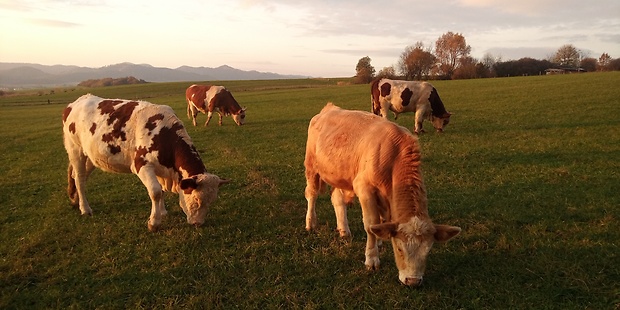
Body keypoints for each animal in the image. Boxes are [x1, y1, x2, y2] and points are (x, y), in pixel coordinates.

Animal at [62, 93, 230, 231]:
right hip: (75, 150)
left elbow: (161, 191)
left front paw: (162, 212)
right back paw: (85, 209)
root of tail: (75, 103)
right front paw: (154, 223)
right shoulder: (142, 165)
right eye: (196, 200)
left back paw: (75, 200)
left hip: (91, 156)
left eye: (211, 201)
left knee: (78, 177)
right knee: (79, 179)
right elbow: (155, 192)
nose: (198, 224)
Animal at [304, 103, 460, 286]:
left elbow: (381, 222)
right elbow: (370, 224)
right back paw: (310, 223)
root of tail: (329, 108)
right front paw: (372, 258)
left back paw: (343, 229)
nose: (413, 281)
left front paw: (379, 241)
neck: (393, 154)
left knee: (337, 200)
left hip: (339, 175)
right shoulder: (365, 189)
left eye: (428, 250)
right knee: (311, 195)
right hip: (311, 167)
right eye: (399, 248)